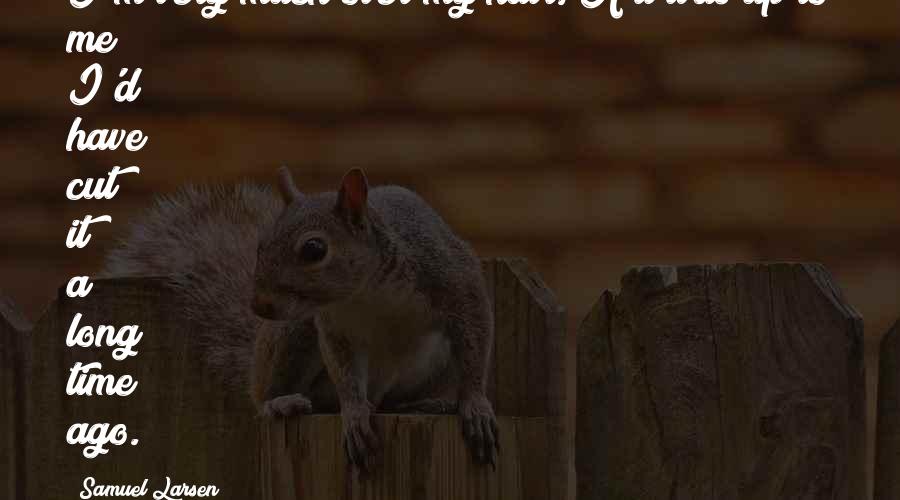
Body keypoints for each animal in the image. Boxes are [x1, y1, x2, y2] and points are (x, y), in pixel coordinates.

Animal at [106, 168, 502, 468]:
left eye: (314, 249)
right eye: (261, 244)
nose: (260, 306)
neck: (368, 293)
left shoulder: (456, 280)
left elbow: (476, 340)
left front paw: (474, 404)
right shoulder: (332, 327)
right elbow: (345, 373)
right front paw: (354, 414)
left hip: (430, 361)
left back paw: (428, 402)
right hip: (294, 333)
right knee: (264, 397)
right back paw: (280, 402)